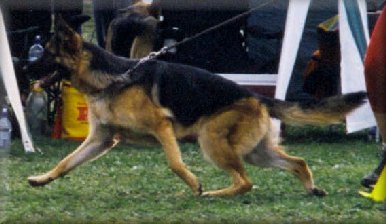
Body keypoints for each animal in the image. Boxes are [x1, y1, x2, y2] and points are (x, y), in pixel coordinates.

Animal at [26, 18, 364, 198]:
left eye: (46, 56)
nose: (26, 69)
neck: (113, 78)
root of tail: (255, 96)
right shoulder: (101, 140)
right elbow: (66, 163)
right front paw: (41, 178)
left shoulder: (162, 128)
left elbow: (175, 163)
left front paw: (195, 184)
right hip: (255, 152)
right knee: (296, 163)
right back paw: (311, 188)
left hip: (211, 141)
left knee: (246, 182)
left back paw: (214, 194)